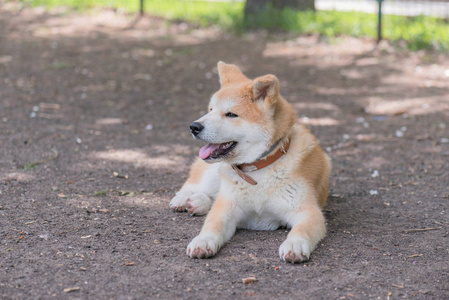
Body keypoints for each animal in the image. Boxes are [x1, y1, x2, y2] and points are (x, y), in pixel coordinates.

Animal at [170, 61, 330, 262]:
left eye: (231, 114)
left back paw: (197, 203)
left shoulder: (308, 211)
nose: (194, 126)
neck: (258, 168)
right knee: (196, 184)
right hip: (213, 173)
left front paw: (294, 244)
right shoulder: (227, 208)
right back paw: (184, 199)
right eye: (210, 110)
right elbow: (212, 224)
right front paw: (203, 240)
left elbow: (302, 230)